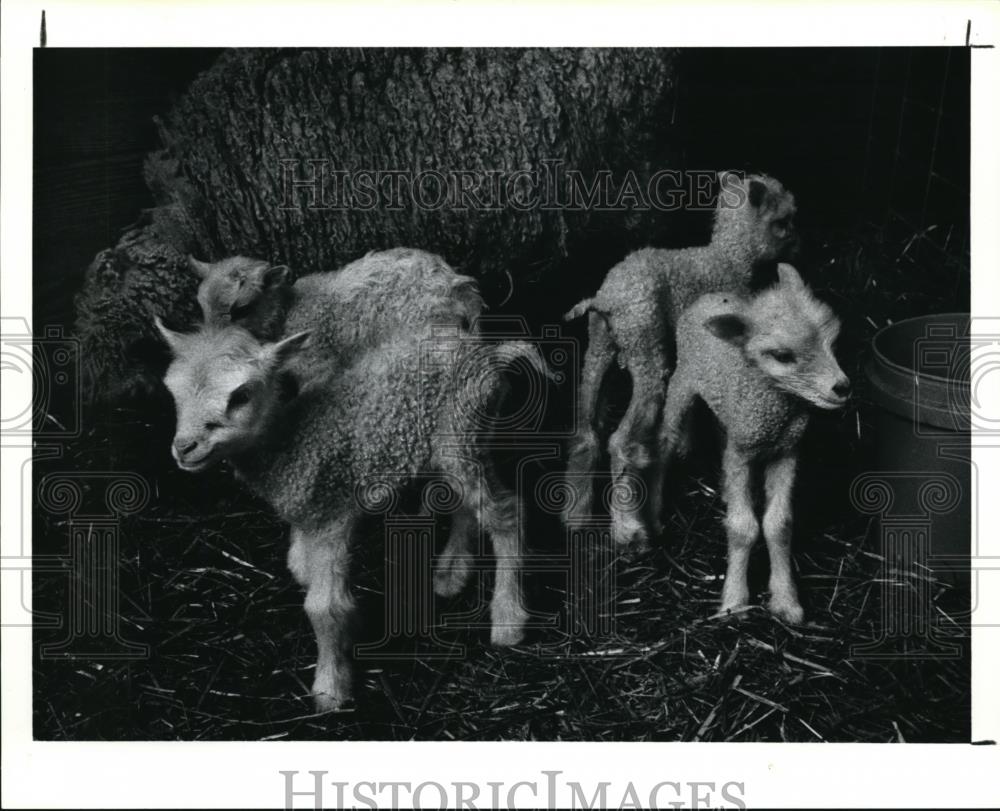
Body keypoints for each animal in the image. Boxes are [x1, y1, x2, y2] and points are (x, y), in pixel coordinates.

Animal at [158, 318, 548, 712]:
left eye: (241, 396)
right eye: (173, 392)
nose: (184, 448)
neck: (292, 441)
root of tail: (490, 352)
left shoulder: (331, 519)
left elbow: (326, 608)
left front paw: (331, 688)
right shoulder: (309, 514)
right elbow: (301, 568)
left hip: (462, 432)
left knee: (507, 513)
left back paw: (508, 620)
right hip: (459, 445)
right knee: (466, 503)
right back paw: (451, 573)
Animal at [564, 170, 796, 544]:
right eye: (783, 221)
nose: (799, 244)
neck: (728, 258)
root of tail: (605, 300)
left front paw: (687, 445)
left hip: (598, 350)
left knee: (585, 431)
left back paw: (576, 518)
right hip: (645, 348)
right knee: (621, 441)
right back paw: (630, 530)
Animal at [656, 264, 852, 624]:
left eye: (833, 339)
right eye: (782, 355)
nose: (842, 388)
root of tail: (709, 295)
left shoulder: (786, 451)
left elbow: (779, 524)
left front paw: (787, 602)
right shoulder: (741, 456)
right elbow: (742, 527)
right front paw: (734, 601)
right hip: (683, 381)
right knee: (666, 436)